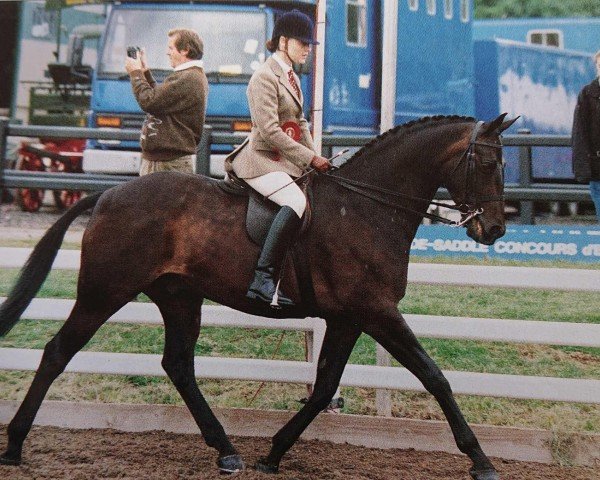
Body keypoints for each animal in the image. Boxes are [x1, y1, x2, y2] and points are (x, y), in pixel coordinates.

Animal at [0, 114, 516, 478]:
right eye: (488, 163)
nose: (493, 230)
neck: (366, 207)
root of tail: (107, 196)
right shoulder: (377, 312)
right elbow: (434, 377)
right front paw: (480, 460)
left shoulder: (349, 317)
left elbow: (324, 386)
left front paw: (274, 452)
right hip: (104, 292)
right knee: (58, 352)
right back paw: (15, 445)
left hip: (179, 297)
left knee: (178, 365)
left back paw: (227, 451)